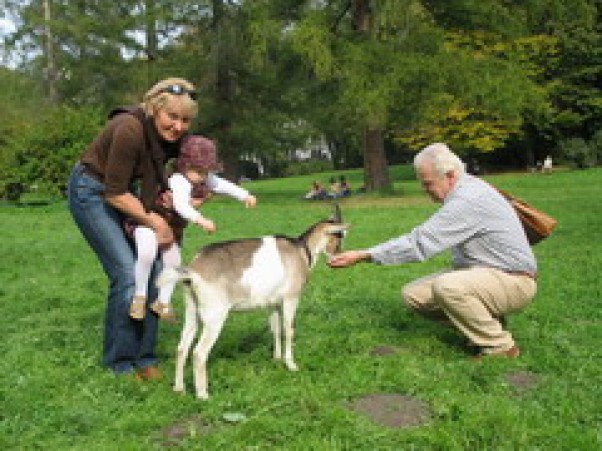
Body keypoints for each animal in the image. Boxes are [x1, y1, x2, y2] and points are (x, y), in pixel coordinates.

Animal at [156, 205, 346, 400]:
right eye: (340, 236)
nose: (337, 256)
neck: (301, 250)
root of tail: (193, 271)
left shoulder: (273, 303)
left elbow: (276, 329)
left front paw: (277, 358)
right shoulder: (290, 298)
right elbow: (289, 330)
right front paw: (291, 364)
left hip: (192, 311)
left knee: (181, 348)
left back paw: (179, 388)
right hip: (214, 316)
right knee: (199, 353)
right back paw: (203, 395)